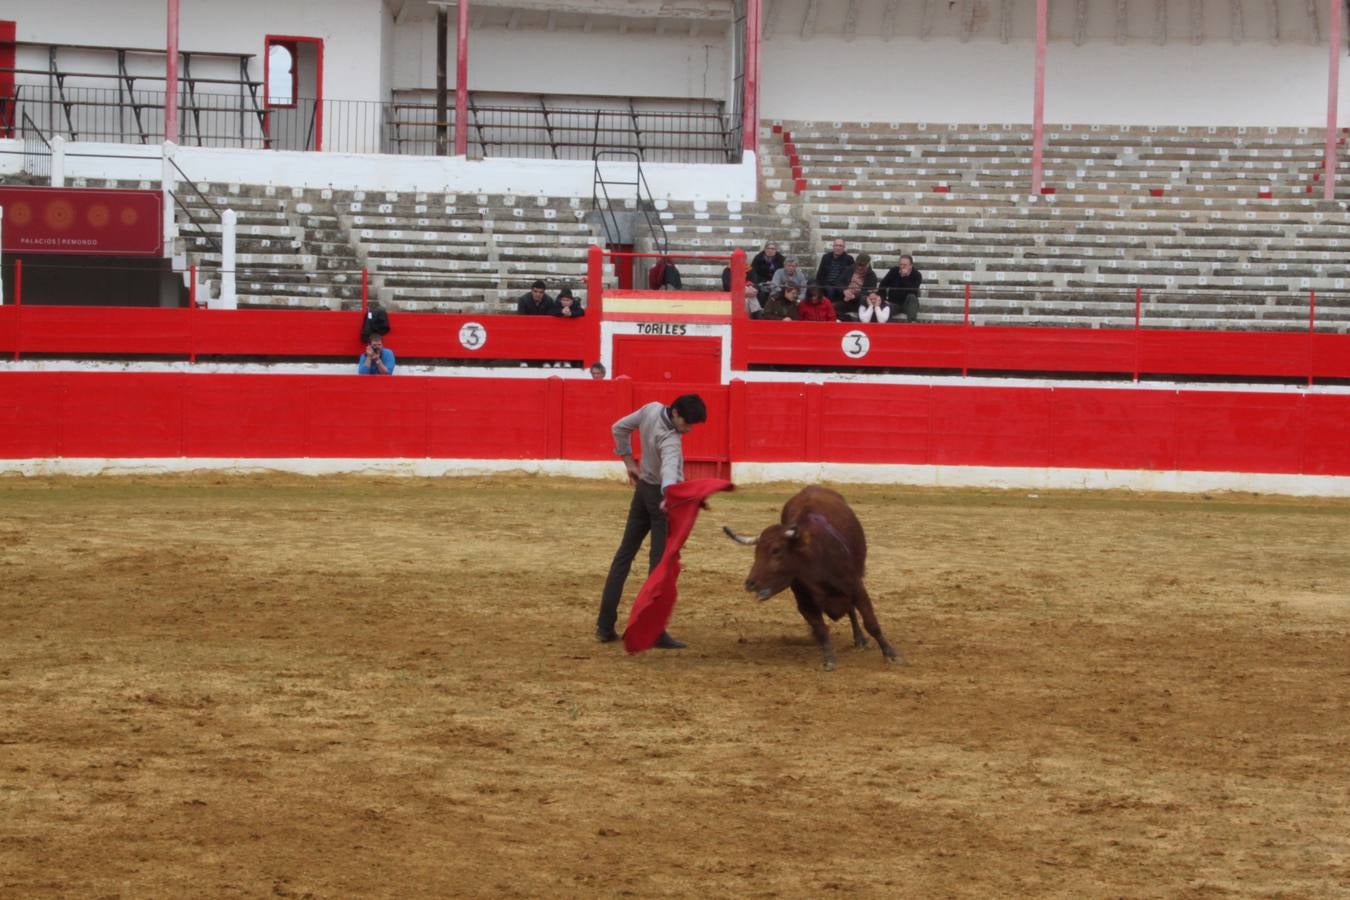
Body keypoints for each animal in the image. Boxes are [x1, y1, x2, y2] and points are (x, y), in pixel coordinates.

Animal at [723, 485, 901, 669]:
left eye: (776, 550)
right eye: (756, 552)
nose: (750, 583)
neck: (813, 563)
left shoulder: (856, 588)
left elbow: (871, 623)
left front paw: (890, 653)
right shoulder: (804, 603)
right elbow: (821, 630)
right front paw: (829, 660)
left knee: (852, 610)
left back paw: (860, 639)